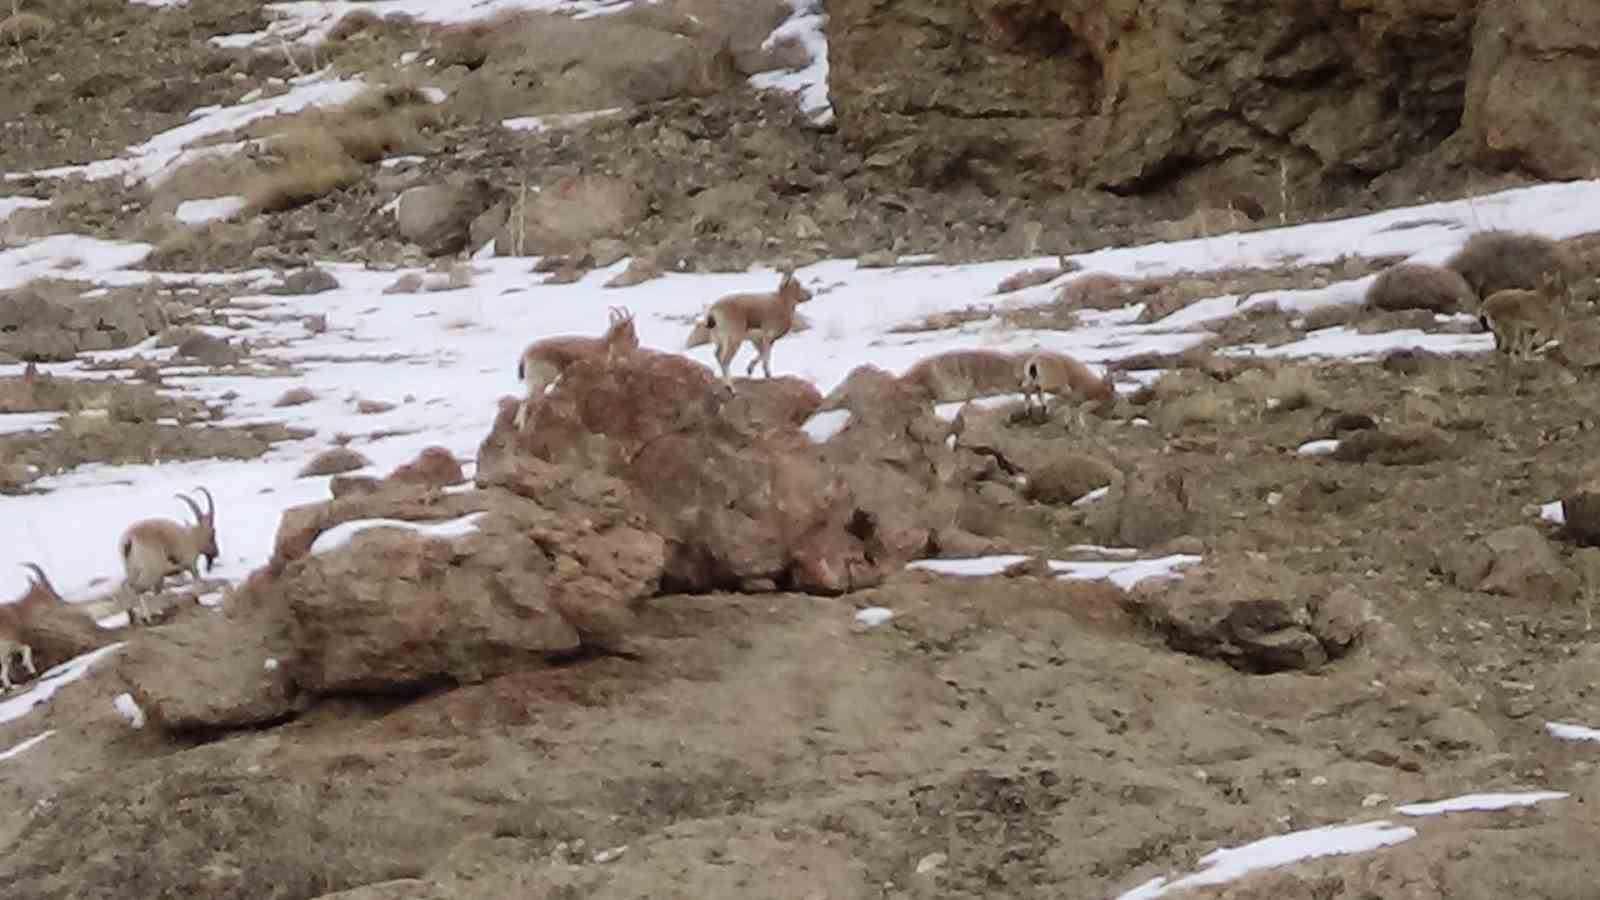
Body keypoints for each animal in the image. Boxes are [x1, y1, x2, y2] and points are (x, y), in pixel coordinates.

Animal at [116, 483, 219, 624]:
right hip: (151, 570)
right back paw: (147, 619)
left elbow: (159, 590)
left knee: (126, 586)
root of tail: (129, 539)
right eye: (213, 533)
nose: (216, 553)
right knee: (137, 589)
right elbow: (196, 582)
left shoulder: (164, 575)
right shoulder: (189, 563)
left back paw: (132, 616)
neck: (191, 537)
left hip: (131, 568)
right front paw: (197, 601)